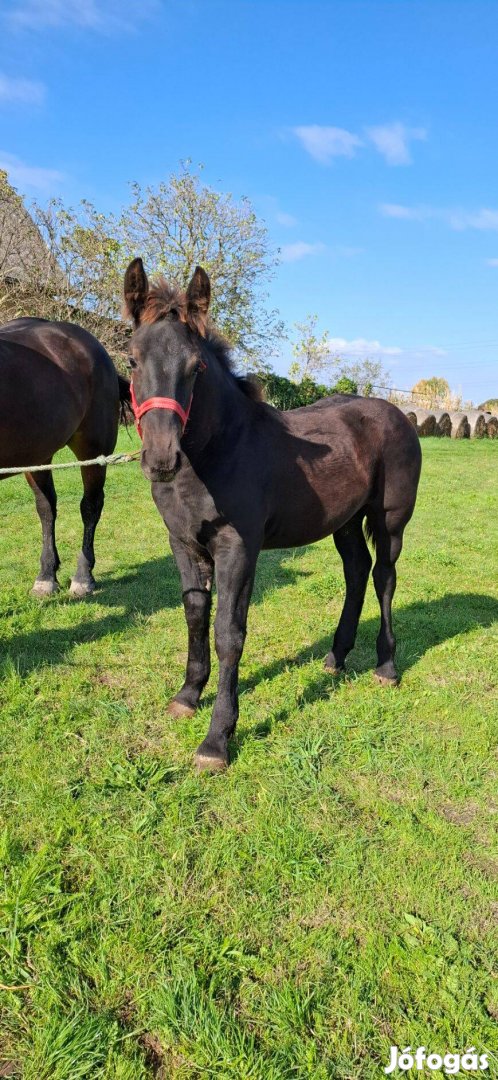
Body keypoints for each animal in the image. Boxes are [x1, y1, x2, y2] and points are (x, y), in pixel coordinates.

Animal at [0, 315, 128, 600]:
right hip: (37, 455)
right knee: (46, 508)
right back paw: (46, 577)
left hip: (93, 451)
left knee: (90, 506)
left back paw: (83, 577)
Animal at [123, 260, 419, 768]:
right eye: (132, 361)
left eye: (196, 366)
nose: (161, 459)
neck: (220, 450)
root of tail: (399, 414)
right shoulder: (182, 542)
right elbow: (195, 616)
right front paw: (187, 695)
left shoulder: (238, 547)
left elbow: (228, 633)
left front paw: (217, 739)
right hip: (344, 522)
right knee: (357, 570)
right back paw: (336, 657)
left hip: (389, 522)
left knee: (383, 577)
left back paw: (386, 665)